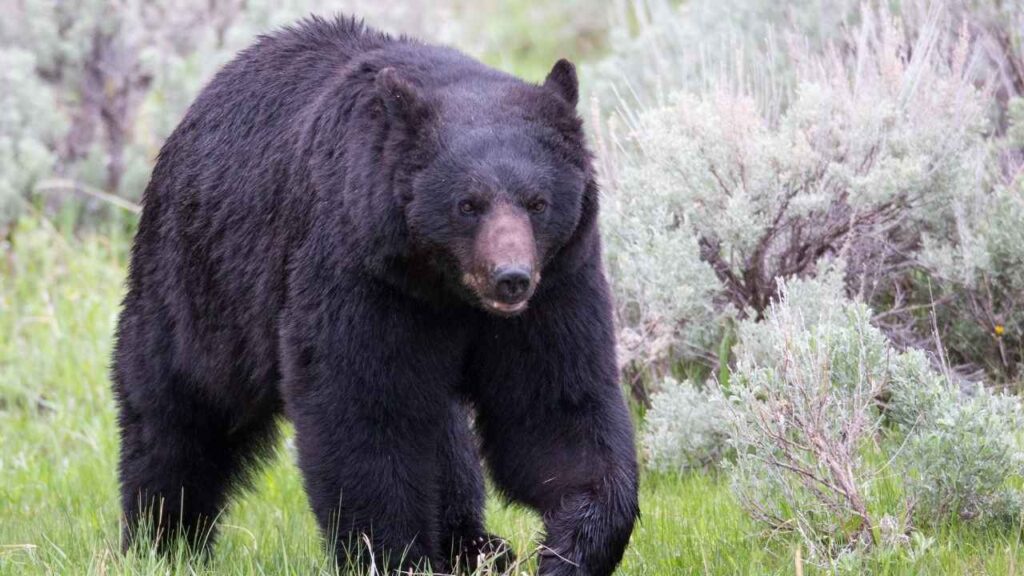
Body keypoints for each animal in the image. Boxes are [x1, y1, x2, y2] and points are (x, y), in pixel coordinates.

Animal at [112, 15, 638, 576]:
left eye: (537, 202)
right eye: (467, 204)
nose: (511, 278)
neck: (446, 290)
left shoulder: (557, 285)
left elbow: (554, 409)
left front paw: (569, 548)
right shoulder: (361, 273)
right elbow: (364, 412)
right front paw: (393, 555)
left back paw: (475, 545)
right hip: (202, 280)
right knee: (177, 406)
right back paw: (162, 539)